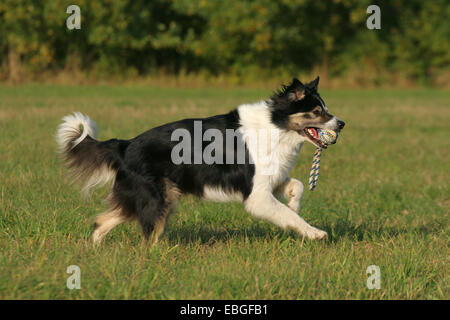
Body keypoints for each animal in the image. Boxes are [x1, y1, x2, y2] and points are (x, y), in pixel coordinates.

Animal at [56, 77, 344, 245]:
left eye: (326, 109)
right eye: (316, 111)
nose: (341, 124)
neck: (277, 125)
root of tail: (124, 145)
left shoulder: (269, 179)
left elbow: (297, 187)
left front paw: (295, 205)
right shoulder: (257, 196)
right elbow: (286, 215)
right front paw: (314, 233)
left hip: (156, 196)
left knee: (102, 221)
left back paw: (95, 250)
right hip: (157, 198)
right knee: (148, 234)